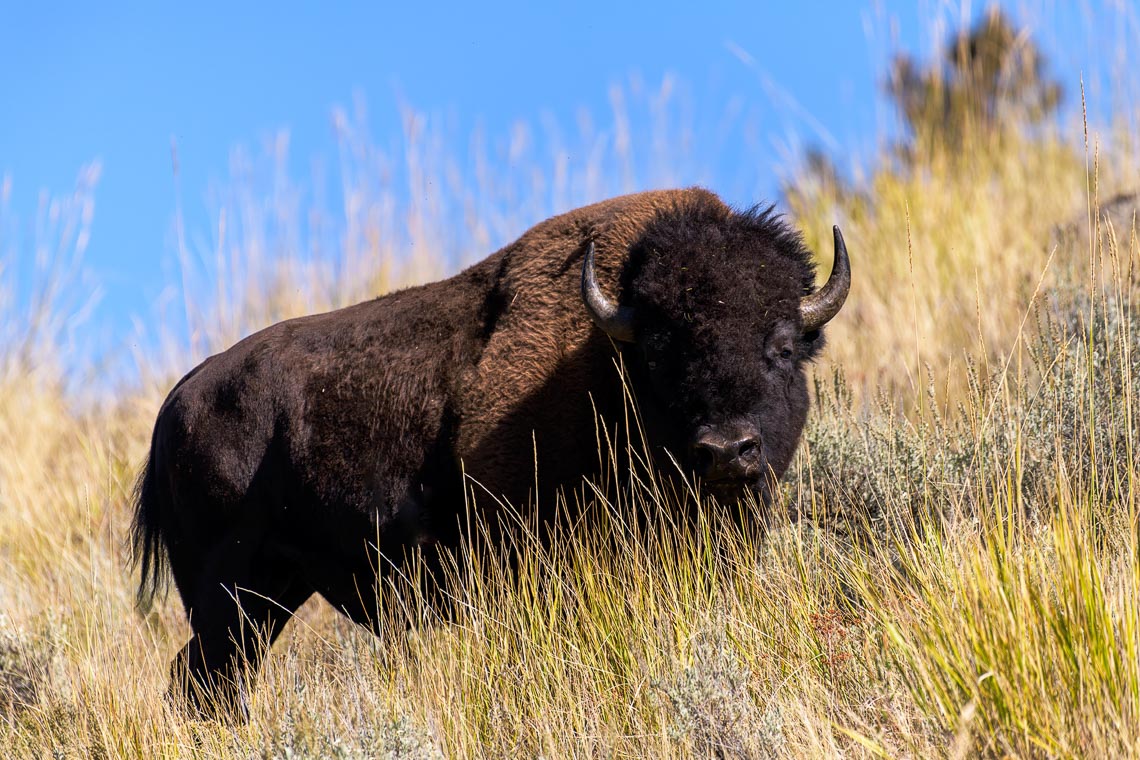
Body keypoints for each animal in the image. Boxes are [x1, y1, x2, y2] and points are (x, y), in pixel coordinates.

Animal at [131, 186, 848, 715]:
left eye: (783, 345)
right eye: (659, 354)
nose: (727, 450)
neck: (601, 359)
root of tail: (177, 402)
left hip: (270, 593)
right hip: (228, 592)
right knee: (207, 681)